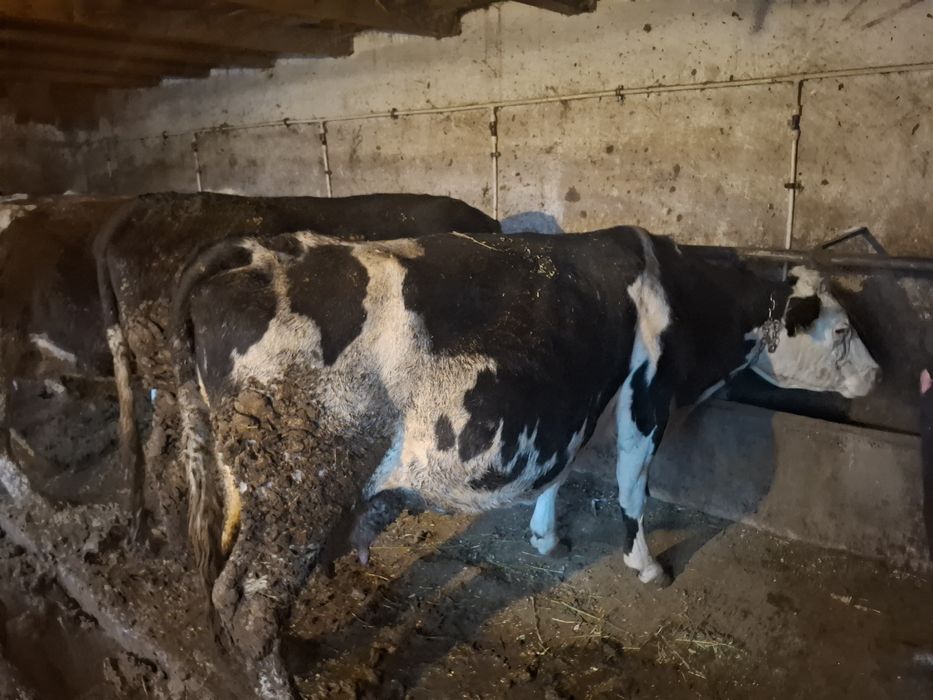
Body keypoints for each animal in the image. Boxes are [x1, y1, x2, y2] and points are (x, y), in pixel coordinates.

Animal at [169, 225, 879, 695]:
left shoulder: (573, 400)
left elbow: (560, 470)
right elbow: (633, 487)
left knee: (234, 587)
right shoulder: (647, 393)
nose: (877, 374)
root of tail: (254, 251)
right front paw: (646, 565)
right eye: (842, 329)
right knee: (250, 600)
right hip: (298, 489)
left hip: (250, 485)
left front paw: (545, 536)